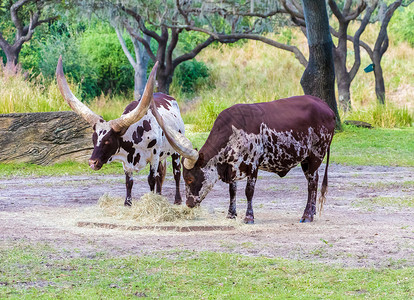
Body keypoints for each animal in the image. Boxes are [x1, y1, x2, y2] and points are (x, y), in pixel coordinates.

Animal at [55, 57, 184, 205]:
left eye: (107, 141)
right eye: (93, 139)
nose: (92, 163)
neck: (136, 133)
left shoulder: (154, 157)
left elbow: (151, 179)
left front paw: (150, 201)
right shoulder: (126, 163)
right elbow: (129, 182)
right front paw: (128, 203)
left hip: (176, 151)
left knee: (176, 173)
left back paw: (177, 199)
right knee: (161, 174)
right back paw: (159, 195)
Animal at [152, 95, 336, 223]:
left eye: (190, 179)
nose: (189, 203)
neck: (232, 132)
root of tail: (326, 108)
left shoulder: (252, 165)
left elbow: (249, 192)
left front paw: (248, 217)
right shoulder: (232, 166)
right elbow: (232, 191)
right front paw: (231, 214)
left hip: (315, 156)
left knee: (312, 184)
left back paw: (307, 215)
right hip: (306, 160)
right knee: (314, 183)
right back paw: (311, 212)